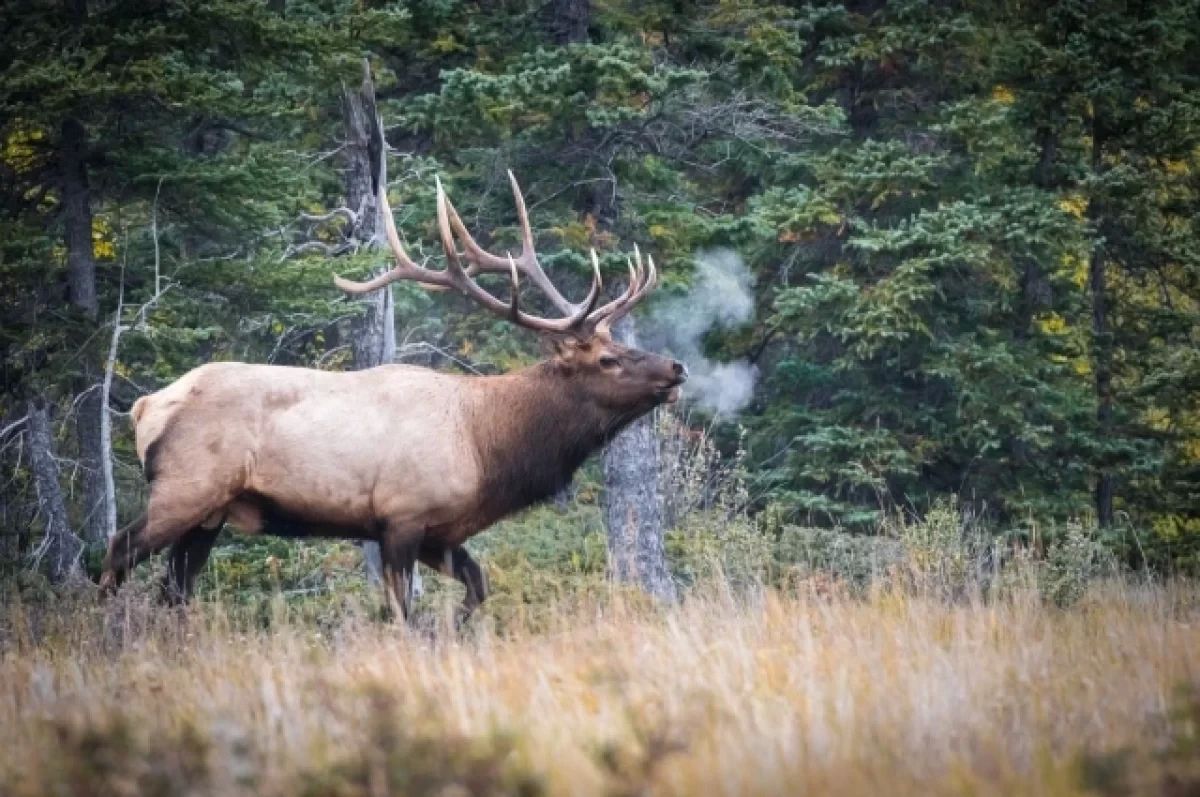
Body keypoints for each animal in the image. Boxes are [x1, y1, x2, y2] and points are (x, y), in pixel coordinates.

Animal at [99, 172, 687, 621]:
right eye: (607, 359)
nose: (677, 367)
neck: (486, 448)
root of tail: (146, 407)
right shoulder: (402, 515)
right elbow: (402, 613)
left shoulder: (439, 533)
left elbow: (478, 587)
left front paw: (458, 627)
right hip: (186, 488)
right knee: (118, 550)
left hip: (212, 513)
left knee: (174, 589)